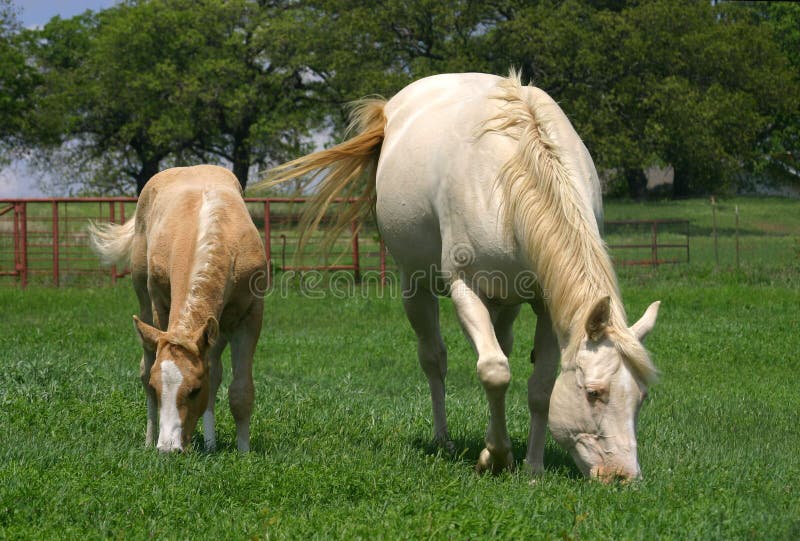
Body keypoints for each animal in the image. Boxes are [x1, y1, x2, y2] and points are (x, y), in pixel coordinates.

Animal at [90, 165, 266, 452]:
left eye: (194, 390)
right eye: (157, 386)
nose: (169, 448)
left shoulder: (250, 316)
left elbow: (240, 391)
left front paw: (244, 453)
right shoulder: (161, 307)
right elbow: (151, 369)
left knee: (215, 373)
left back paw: (210, 443)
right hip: (144, 297)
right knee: (145, 364)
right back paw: (152, 439)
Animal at [266, 71, 660, 480]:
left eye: (641, 398)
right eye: (593, 393)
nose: (623, 477)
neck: (511, 177)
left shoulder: (547, 303)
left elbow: (539, 387)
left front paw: (532, 466)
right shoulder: (465, 288)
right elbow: (493, 371)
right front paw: (496, 457)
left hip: (506, 300)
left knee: (501, 346)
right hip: (416, 286)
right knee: (434, 359)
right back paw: (444, 440)